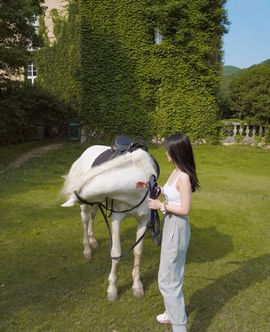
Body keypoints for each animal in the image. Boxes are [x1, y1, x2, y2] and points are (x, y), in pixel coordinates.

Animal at [60, 145, 158, 300]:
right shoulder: (116, 219)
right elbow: (116, 253)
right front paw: (112, 289)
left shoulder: (143, 219)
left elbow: (138, 251)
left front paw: (137, 285)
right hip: (86, 207)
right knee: (85, 220)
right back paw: (87, 249)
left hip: (96, 204)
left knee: (92, 217)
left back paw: (93, 240)